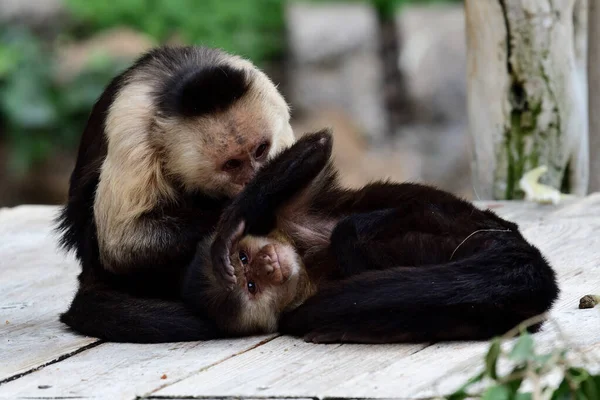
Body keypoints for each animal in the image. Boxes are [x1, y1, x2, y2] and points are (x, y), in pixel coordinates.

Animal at [56, 45, 296, 342]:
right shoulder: (132, 129)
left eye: (261, 149)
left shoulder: (270, 99)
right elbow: (121, 244)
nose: (254, 178)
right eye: (232, 164)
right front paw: (246, 209)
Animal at [184, 130, 564, 342]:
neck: (306, 264)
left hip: (454, 223)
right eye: (252, 286)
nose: (265, 264)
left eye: (244, 257)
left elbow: (318, 146)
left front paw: (232, 223)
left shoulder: (291, 218)